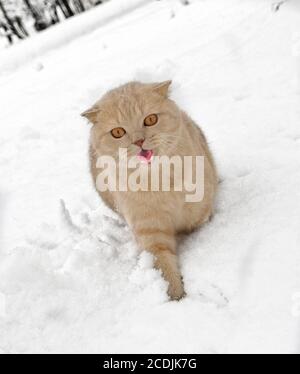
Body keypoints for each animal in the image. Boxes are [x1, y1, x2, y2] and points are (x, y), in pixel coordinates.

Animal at [82, 80, 217, 300]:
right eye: (118, 132)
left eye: (151, 119)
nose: (138, 141)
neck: (160, 181)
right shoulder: (151, 236)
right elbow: (163, 268)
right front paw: (176, 296)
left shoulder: (201, 214)